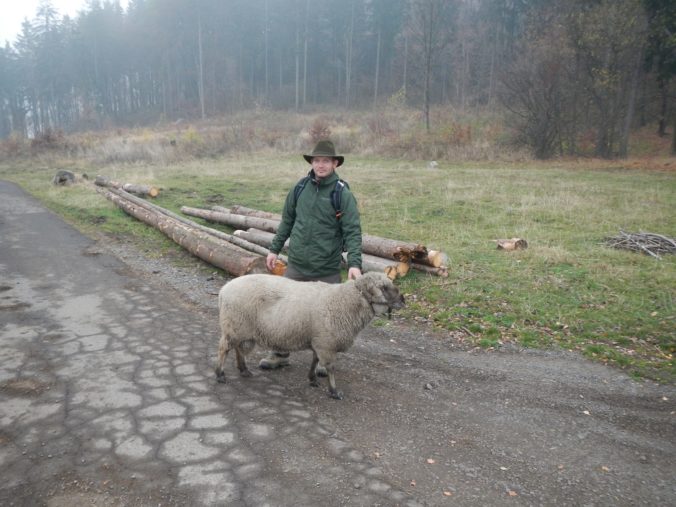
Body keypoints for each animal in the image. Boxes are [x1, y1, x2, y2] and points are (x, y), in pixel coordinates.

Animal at [217, 272, 404, 398]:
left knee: (238, 348)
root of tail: (224, 290)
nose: (403, 300)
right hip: (234, 324)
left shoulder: (319, 340)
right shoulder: (327, 343)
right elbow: (330, 367)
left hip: (241, 328)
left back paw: (244, 370)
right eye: (384, 287)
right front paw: (334, 391)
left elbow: (315, 360)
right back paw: (220, 374)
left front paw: (312, 379)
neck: (346, 301)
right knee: (224, 349)